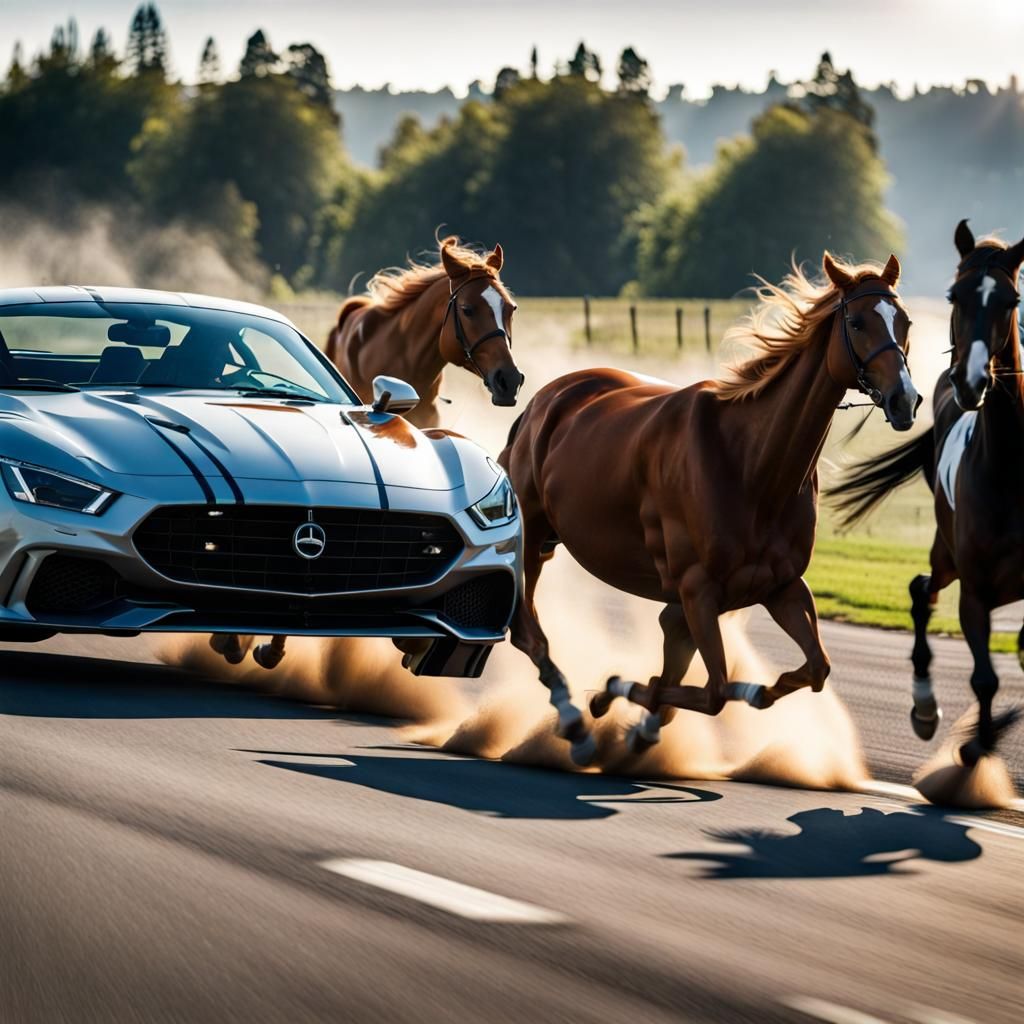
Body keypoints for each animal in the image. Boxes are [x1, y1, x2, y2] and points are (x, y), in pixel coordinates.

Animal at [501, 251, 921, 765]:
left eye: (903, 321)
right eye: (858, 322)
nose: (904, 400)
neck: (751, 465)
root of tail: (542, 402)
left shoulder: (781, 585)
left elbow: (814, 668)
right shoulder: (697, 589)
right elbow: (714, 689)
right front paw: (610, 692)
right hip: (530, 539)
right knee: (529, 631)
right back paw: (575, 723)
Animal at [827, 224, 1024, 770]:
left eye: (1011, 299)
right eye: (954, 296)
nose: (970, 381)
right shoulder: (975, 588)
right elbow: (984, 677)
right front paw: (975, 747)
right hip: (947, 552)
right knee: (921, 590)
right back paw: (924, 708)